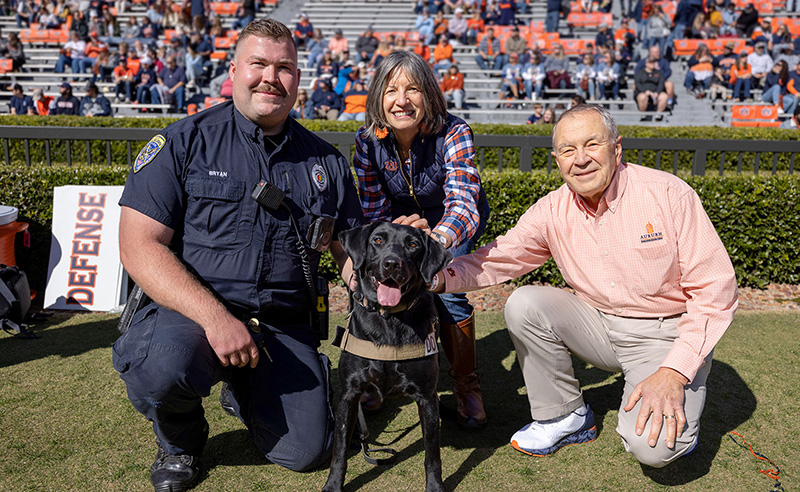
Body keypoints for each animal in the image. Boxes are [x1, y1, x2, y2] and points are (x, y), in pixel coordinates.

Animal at [322, 222, 454, 492]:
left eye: (413, 245)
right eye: (378, 240)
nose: (392, 264)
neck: (389, 318)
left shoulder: (426, 397)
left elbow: (432, 454)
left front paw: (435, 487)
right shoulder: (349, 394)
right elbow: (339, 450)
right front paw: (333, 486)